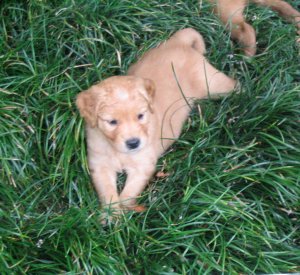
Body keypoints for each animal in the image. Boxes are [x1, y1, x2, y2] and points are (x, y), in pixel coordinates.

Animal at [75, 28, 237, 213]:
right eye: (112, 122)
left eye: (141, 116)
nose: (133, 143)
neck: (117, 150)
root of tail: (177, 41)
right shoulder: (100, 165)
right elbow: (108, 195)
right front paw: (111, 215)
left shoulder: (142, 166)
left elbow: (128, 195)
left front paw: (123, 215)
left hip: (214, 84)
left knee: (235, 85)